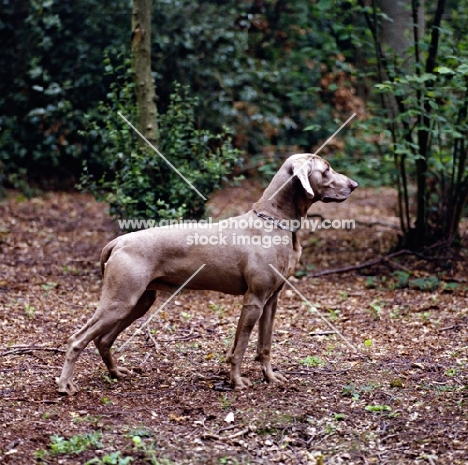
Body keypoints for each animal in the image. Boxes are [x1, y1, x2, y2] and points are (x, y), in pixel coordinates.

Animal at [58, 154, 358, 394]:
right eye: (326, 169)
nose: (354, 185)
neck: (275, 221)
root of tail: (117, 242)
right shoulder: (254, 299)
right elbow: (240, 347)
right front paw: (237, 382)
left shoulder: (271, 300)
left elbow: (264, 346)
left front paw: (270, 378)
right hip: (120, 301)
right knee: (77, 339)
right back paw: (66, 385)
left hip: (140, 301)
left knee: (103, 339)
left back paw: (116, 373)